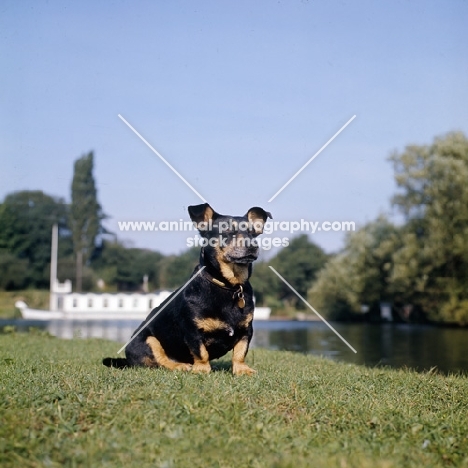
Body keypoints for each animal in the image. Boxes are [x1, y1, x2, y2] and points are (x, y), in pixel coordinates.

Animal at [102, 203, 270, 374]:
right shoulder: (192, 331)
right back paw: (180, 366)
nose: (252, 246)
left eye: (253, 234)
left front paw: (242, 370)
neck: (228, 286)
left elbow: (240, 352)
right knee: (162, 362)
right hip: (150, 340)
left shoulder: (246, 331)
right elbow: (200, 352)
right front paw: (202, 369)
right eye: (228, 231)